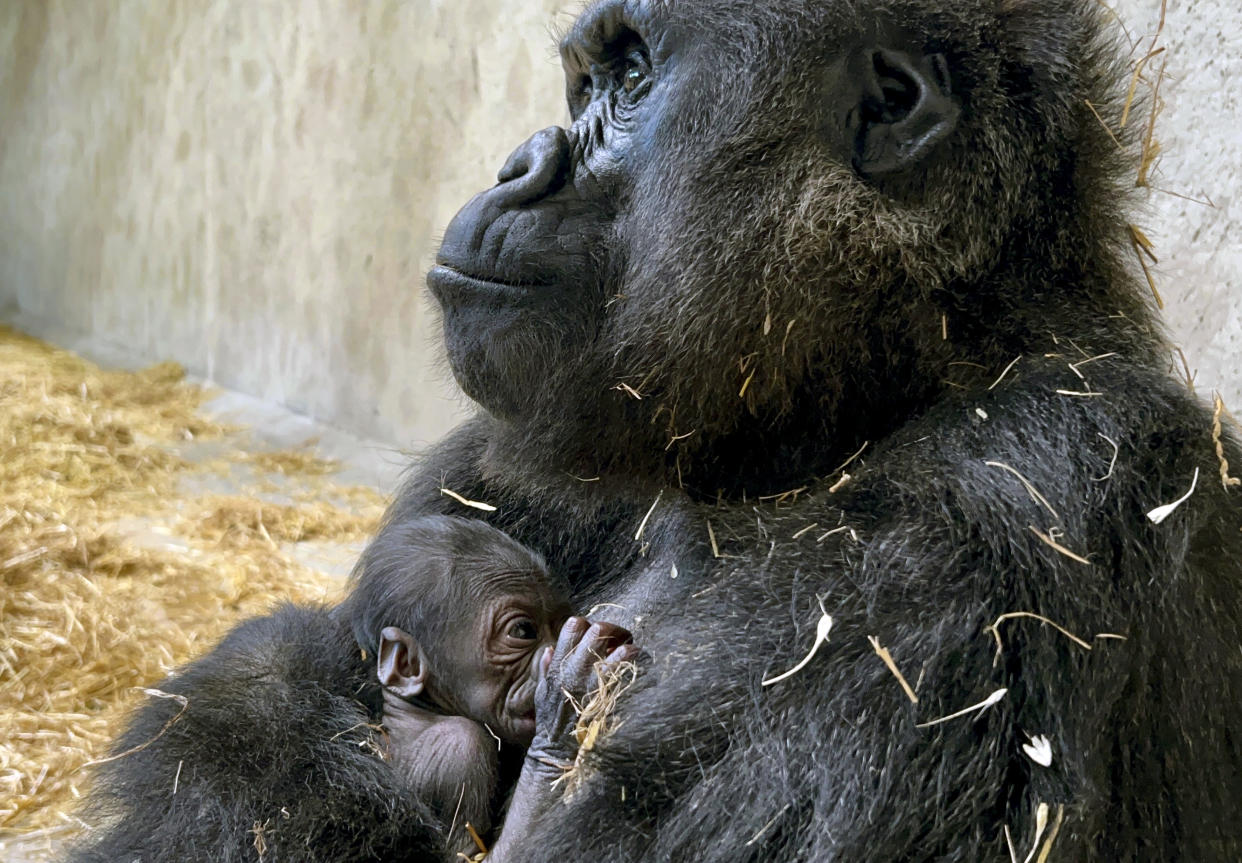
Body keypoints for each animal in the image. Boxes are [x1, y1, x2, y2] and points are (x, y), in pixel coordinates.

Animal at [70, 514, 630, 863]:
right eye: (523, 631)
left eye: (557, 620)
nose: (554, 649)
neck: (414, 709)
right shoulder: (461, 748)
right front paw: (565, 708)